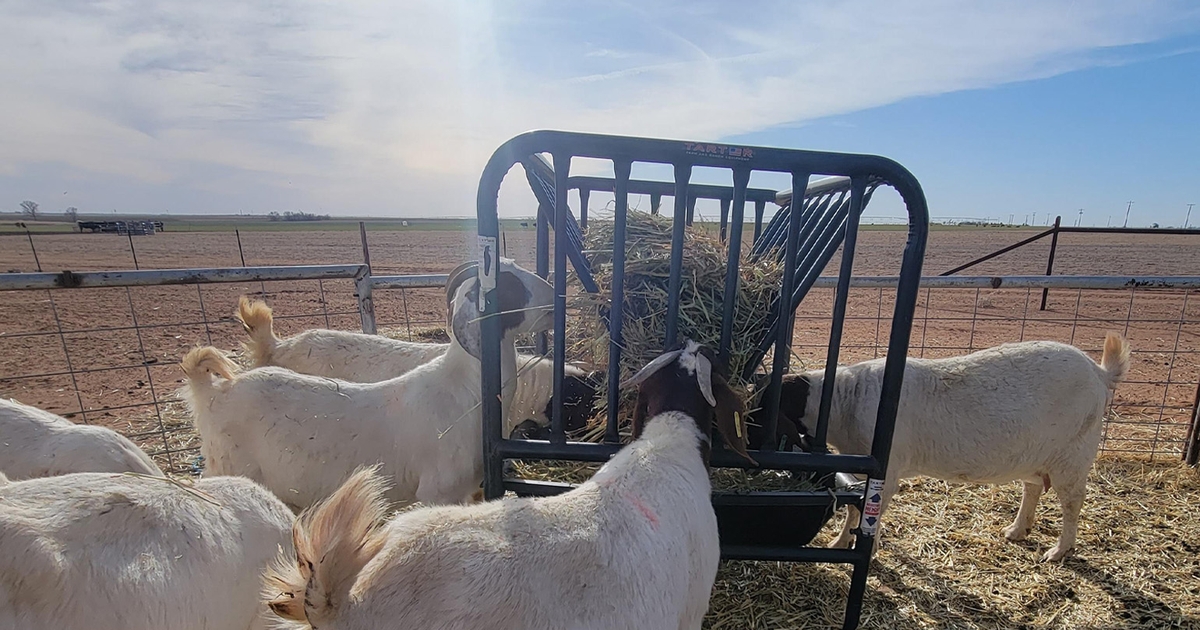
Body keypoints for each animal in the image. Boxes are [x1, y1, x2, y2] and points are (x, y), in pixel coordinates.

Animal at [180, 258, 555, 511]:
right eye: (510, 286)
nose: (555, 294)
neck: (465, 389)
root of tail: (211, 391)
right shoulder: (438, 492)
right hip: (229, 466)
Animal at [766, 333, 1130, 561]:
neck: (844, 401)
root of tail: (1100, 373)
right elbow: (855, 507)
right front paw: (842, 541)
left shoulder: (888, 468)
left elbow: (866, 511)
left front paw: (862, 547)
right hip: (1035, 453)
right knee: (1033, 487)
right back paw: (1017, 530)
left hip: (1073, 453)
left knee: (1072, 502)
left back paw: (1058, 551)